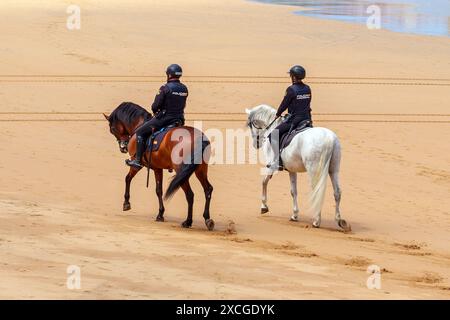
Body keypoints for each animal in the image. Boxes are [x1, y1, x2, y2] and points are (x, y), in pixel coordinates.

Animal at [103, 102, 214, 230]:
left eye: (112, 129)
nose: (123, 148)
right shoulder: (158, 169)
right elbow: (159, 190)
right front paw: (160, 214)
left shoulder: (137, 164)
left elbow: (128, 178)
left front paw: (126, 203)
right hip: (200, 170)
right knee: (208, 189)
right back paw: (207, 219)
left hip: (181, 172)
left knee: (190, 195)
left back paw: (188, 221)